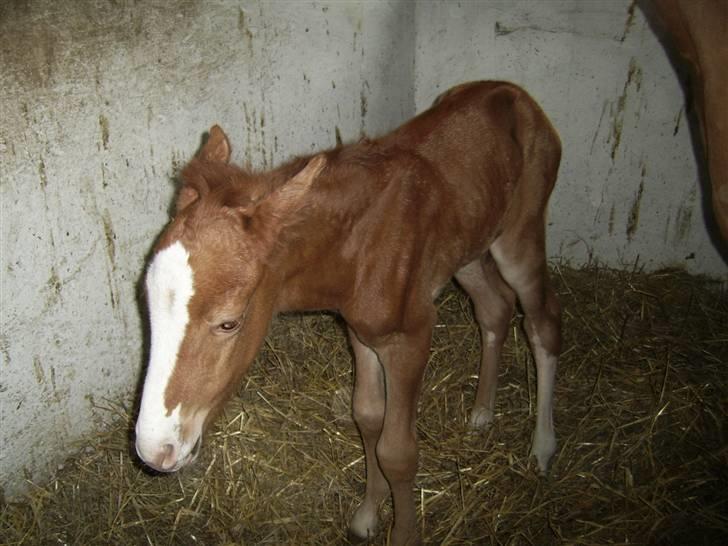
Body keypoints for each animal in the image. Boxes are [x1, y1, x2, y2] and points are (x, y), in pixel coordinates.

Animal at [132, 79, 564, 540]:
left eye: (228, 323)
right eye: (147, 310)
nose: (155, 450)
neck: (356, 248)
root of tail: (512, 91)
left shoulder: (411, 336)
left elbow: (398, 451)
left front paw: (402, 534)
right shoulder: (359, 332)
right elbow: (367, 416)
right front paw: (367, 515)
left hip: (519, 236)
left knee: (542, 323)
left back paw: (542, 448)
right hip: (468, 247)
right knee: (494, 308)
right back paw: (482, 412)